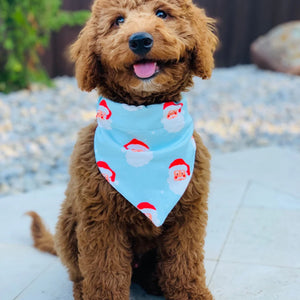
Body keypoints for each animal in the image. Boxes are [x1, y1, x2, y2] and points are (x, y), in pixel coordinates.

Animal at [28, 0, 217, 300]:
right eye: (118, 20)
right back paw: (82, 289)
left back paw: (155, 282)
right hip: (68, 224)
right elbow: (105, 271)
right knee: (78, 271)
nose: (140, 40)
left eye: (162, 13)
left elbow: (184, 261)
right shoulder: (101, 219)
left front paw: (190, 293)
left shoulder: (188, 212)